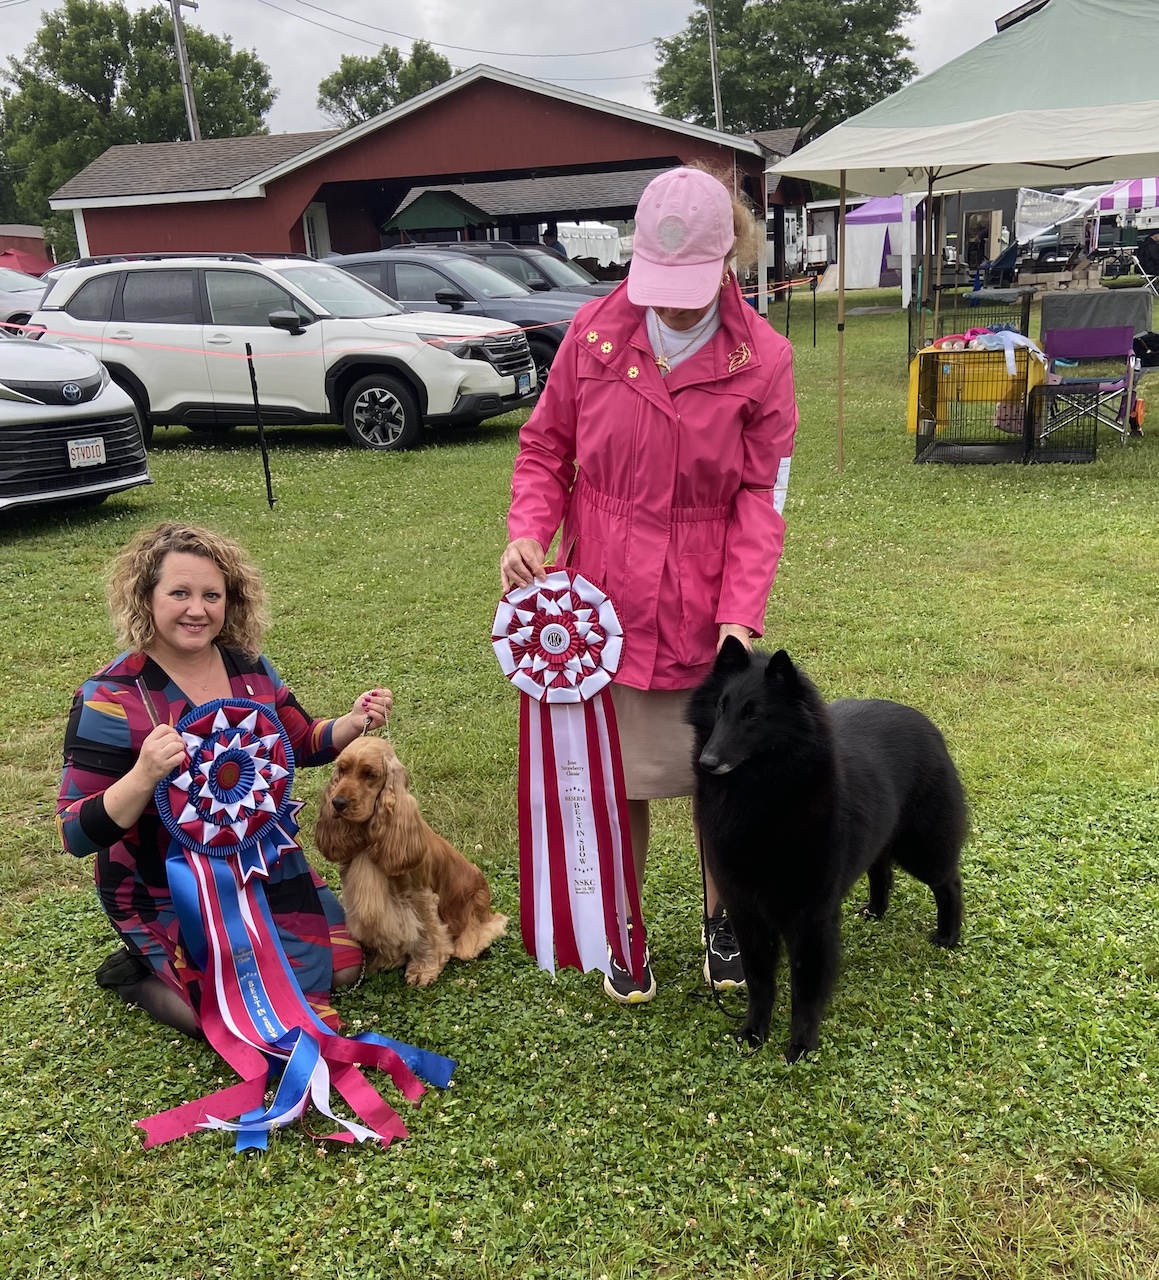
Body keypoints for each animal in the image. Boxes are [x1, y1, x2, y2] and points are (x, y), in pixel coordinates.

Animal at [315, 737, 507, 986]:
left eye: (369, 773)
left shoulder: (418, 896)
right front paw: (383, 960)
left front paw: (423, 970)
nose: (337, 802)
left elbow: (425, 931)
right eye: (342, 769)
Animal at [688, 640, 966, 1060]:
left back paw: (948, 936)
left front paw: (801, 1044)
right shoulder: (747, 913)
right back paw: (876, 910)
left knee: (949, 883)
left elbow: (806, 987)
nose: (708, 761)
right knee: (881, 868)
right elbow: (759, 982)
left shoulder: (809, 918)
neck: (762, 798)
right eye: (721, 707)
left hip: (922, 849)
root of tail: (925, 723)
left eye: (754, 714)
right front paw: (754, 1032)